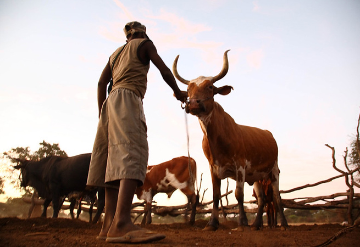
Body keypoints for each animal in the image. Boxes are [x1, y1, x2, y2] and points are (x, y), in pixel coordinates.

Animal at [173, 49, 288, 230]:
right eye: (188, 88)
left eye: (210, 87)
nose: (193, 104)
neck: (216, 138)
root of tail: (268, 133)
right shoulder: (213, 167)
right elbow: (216, 195)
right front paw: (212, 223)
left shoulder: (240, 165)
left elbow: (238, 194)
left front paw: (242, 223)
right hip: (257, 175)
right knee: (261, 199)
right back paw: (256, 224)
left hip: (274, 170)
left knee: (277, 196)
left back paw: (283, 223)